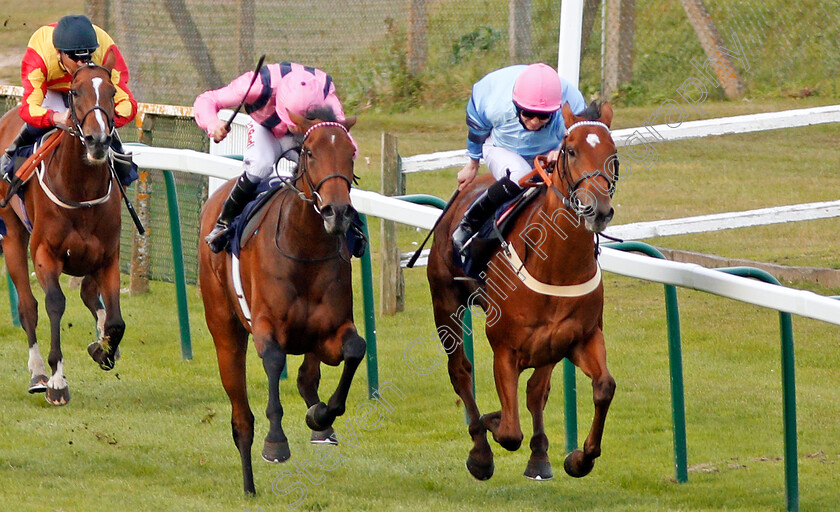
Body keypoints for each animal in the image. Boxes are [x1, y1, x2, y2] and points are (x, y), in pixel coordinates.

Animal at [0, 64, 126, 406]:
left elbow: (116, 321)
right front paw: (57, 380)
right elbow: (54, 303)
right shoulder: (45, 254)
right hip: (12, 235)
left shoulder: (108, 257)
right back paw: (38, 375)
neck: (81, 189)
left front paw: (103, 349)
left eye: (112, 91)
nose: (98, 141)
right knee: (28, 307)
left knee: (89, 296)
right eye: (75, 92)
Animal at [200, 110, 368, 494]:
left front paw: (320, 416)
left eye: (350, 154)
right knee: (241, 417)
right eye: (310, 153)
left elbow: (355, 350)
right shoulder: (266, 327)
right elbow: (275, 363)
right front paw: (275, 443)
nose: (338, 212)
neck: (305, 248)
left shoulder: (332, 329)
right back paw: (248, 484)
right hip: (225, 331)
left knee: (308, 377)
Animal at [426, 103, 616, 480]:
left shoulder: (577, 337)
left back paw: (538, 454)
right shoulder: (505, 347)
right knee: (460, 371)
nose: (598, 209)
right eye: (571, 150)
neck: (557, 266)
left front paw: (578, 458)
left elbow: (601, 387)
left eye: (613, 154)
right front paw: (491, 425)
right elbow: (510, 431)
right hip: (446, 304)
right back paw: (480, 449)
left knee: (535, 390)